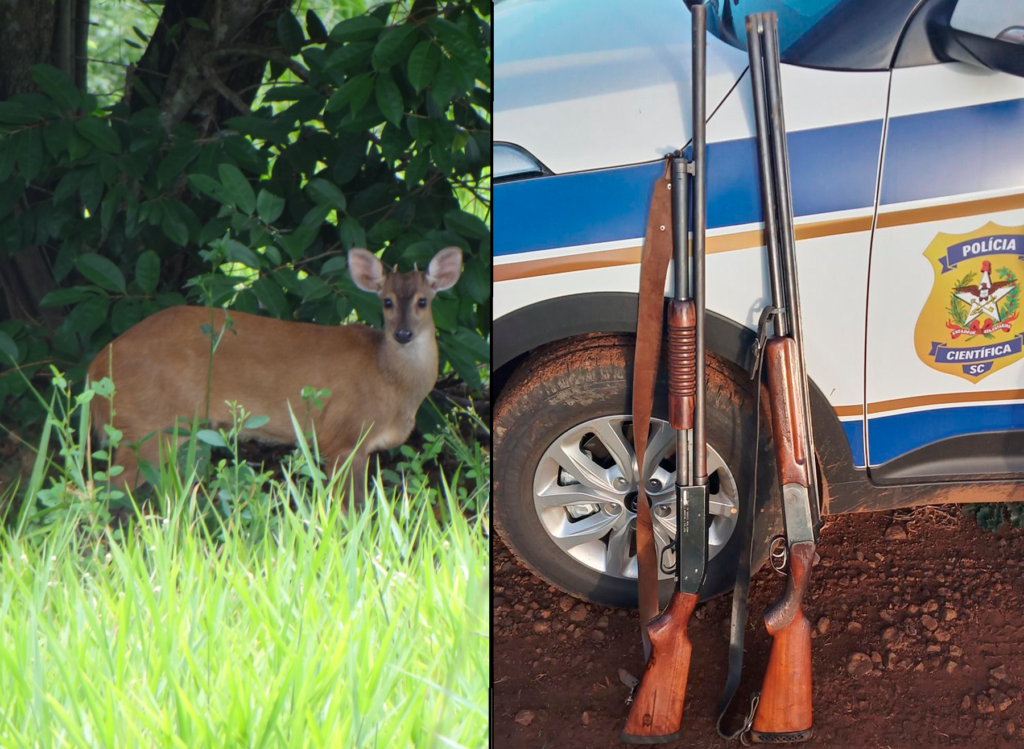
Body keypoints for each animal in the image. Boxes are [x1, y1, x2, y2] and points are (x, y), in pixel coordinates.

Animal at [88, 248, 464, 500]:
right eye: (387, 301)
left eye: (422, 301)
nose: (403, 334)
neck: (389, 381)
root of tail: (96, 367)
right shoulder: (341, 436)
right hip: (147, 427)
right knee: (100, 492)